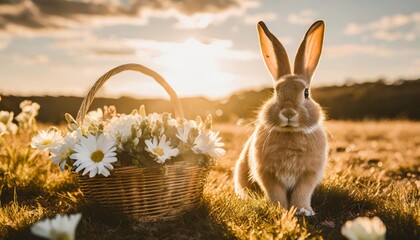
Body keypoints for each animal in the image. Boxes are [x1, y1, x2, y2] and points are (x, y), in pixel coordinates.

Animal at [233, 19, 328, 217]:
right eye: (276, 92)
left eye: (306, 93)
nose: (289, 113)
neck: (291, 132)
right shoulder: (266, 173)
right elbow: (275, 192)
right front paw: (279, 208)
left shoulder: (309, 175)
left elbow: (302, 192)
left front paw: (303, 210)